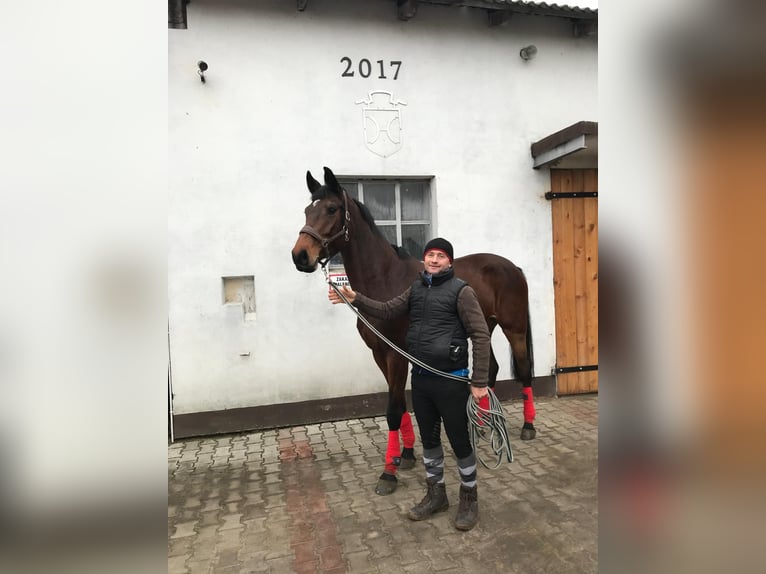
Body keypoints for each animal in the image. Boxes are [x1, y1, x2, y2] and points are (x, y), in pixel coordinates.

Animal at [292, 165, 536, 496]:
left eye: (331, 209)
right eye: (308, 210)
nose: (300, 255)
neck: (385, 279)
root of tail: (512, 267)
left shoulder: (396, 354)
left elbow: (393, 409)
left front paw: (388, 473)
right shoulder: (380, 354)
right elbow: (398, 403)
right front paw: (405, 455)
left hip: (515, 328)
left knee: (523, 370)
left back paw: (528, 426)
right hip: (485, 326)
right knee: (491, 370)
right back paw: (484, 425)